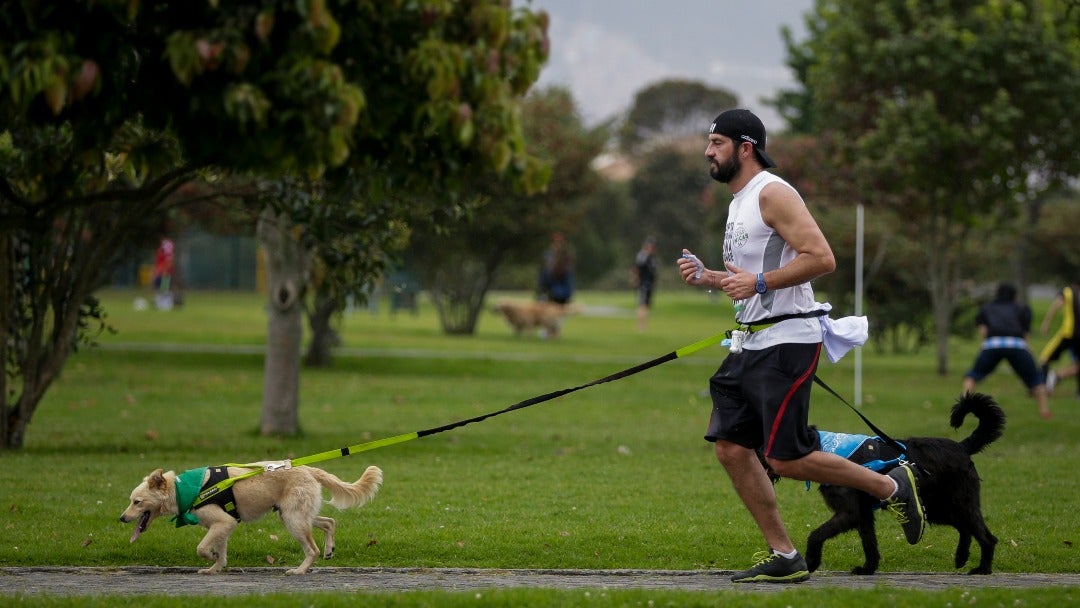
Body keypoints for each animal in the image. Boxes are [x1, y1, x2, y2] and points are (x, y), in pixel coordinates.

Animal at [120, 466, 382, 574]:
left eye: (137, 502)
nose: (121, 518)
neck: (182, 490)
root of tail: (309, 469)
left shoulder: (223, 523)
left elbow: (201, 548)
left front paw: (210, 558)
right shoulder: (223, 526)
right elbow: (221, 553)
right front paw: (214, 568)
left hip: (294, 520)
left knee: (312, 549)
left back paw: (299, 571)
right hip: (296, 515)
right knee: (329, 522)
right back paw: (329, 549)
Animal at [803, 395, 1002, 574]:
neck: (825, 447)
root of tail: (962, 447)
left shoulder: (849, 513)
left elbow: (816, 534)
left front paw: (811, 562)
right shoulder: (863, 514)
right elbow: (869, 543)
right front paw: (868, 569)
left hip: (959, 504)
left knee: (986, 537)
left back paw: (982, 569)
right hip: (938, 508)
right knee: (965, 529)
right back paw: (961, 557)